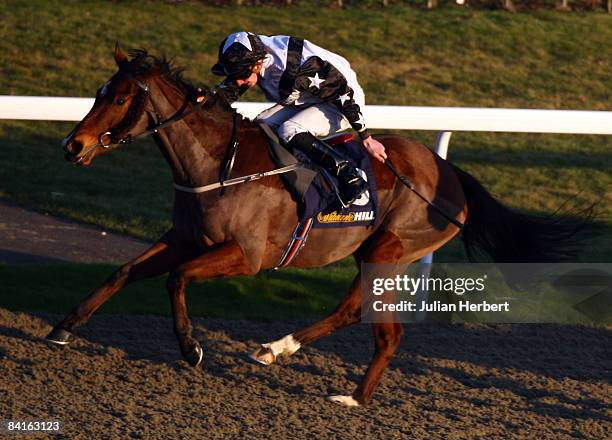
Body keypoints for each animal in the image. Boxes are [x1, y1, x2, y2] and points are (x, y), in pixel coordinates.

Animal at [47, 47, 584, 406]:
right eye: (98, 93)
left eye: (119, 100)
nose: (73, 146)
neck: (219, 163)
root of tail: (451, 174)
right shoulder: (183, 238)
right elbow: (124, 272)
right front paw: (63, 327)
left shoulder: (245, 256)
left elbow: (176, 280)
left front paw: (191, 348)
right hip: (372, 254)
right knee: (351, 312)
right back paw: (278, 352)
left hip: (389, 251)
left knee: (386, 333)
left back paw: (352, 396)